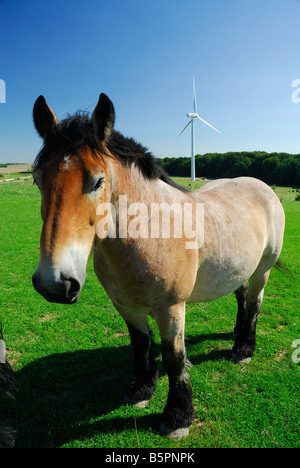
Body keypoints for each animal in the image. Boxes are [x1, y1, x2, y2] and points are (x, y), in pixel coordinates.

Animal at [31, 93, 284, 440]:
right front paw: (141, 389)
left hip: (263, 269)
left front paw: (178, 417)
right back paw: (236, 332)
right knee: (241, 295)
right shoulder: (125, 306)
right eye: (37, 180)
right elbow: (140, 346)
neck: (150, 231)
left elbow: (174, 358)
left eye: (97, 182)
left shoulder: (172, 309)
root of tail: (260, 185)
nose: (54, 283)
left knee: (255, 302)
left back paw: (244, 348)